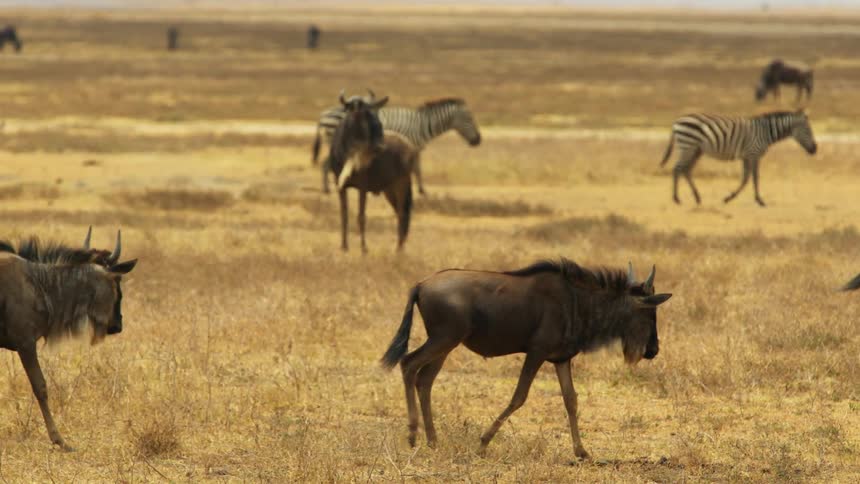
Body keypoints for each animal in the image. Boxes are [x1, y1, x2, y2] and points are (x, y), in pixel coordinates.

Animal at [312, 98, 482, 194]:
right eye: (470, 119)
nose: (478, 140)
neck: (421, 126)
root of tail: (322, 114)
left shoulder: (415, 149)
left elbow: (417, 169)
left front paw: (421, 190)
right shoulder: (408, 146)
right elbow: (413, 169)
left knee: (326, 164)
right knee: (327, 164)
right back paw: (328, 189)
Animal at [660, 110, 817, 207]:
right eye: (807, 130)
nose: (815, 150)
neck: (765, 132)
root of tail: (677, 121)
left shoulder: (746, 157)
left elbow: (746, 178)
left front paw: (729, 198)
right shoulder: (753, 154)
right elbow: (754, 177)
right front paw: (759, 200)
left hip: (696, 150)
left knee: (686, 170)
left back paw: (697, 197)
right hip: (688, 146)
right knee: (677, 168)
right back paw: (676, 199)